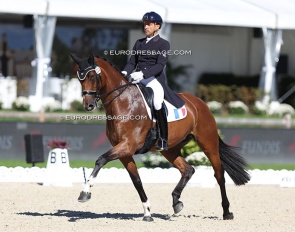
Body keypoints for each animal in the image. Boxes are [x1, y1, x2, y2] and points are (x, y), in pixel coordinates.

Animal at [70, 52, 251, 221]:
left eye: (92, 76)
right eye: (79, 78)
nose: (88, 105)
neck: (123, 102)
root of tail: (200, 103)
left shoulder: (127, 146)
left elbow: (101, 159)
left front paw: (85, 192)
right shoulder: (124, 152)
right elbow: (136, 181)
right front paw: (147, 212)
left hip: (208, 143)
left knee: (219, 175)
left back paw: (227, 212)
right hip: (170, 149)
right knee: (188, 169)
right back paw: (176, 203)